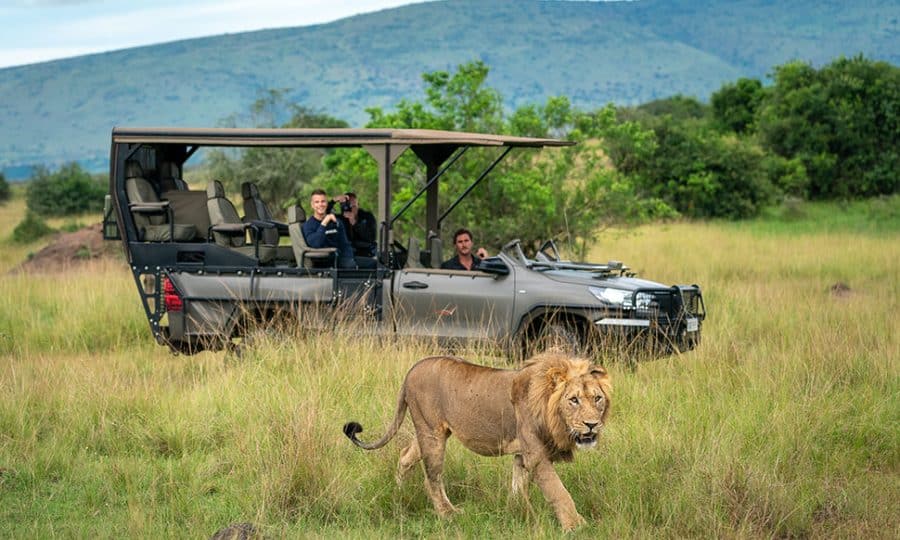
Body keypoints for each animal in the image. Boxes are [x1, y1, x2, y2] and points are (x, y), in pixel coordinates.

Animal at [342, 352, 611, 531]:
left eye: (597, 398)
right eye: (574, 400)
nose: (591, 424)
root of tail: (413, 368)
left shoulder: (522, 454)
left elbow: (518, 485)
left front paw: (517, 511)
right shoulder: (536, 455)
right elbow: (559, 491)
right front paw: (576, 525)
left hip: (429, 432)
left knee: (406, 455)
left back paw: (400, 491)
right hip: (432, 434)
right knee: (432, 478)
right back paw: (448, 514)